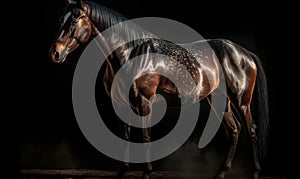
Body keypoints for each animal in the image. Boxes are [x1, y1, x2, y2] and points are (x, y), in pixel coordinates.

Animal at [49, 0, 270, 178]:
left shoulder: (143, 101)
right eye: (60, 20)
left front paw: (147, 172)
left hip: (241, 101)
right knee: (234, 130)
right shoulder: (120, 105)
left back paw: (255, 172)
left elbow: (146, 137)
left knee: (251, 130)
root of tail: (244, 53)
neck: (131, 53)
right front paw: (122, 172)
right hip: (219, 101)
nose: (55, 53)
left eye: (74, 20)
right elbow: (125, 137)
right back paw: (221, 173)